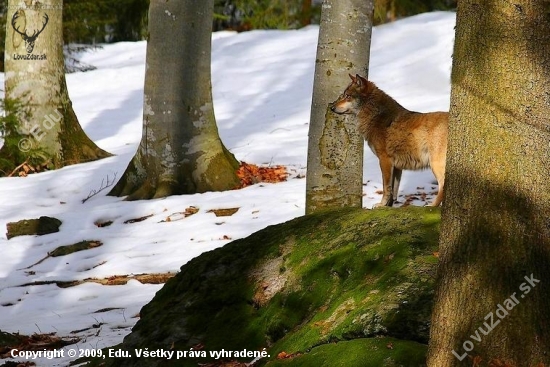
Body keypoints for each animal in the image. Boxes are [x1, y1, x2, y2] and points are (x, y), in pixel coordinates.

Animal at [332, 75, 448, 207]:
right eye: (344, 95)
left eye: (347, 96)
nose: (331, 107)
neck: (375, 116)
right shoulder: (397, 167)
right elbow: (394, 190)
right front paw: (389, 206)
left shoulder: (384, 160)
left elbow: (386, 187)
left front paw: (381, 205)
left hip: (435, 164)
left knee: (442, 186)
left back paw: (432, 206)